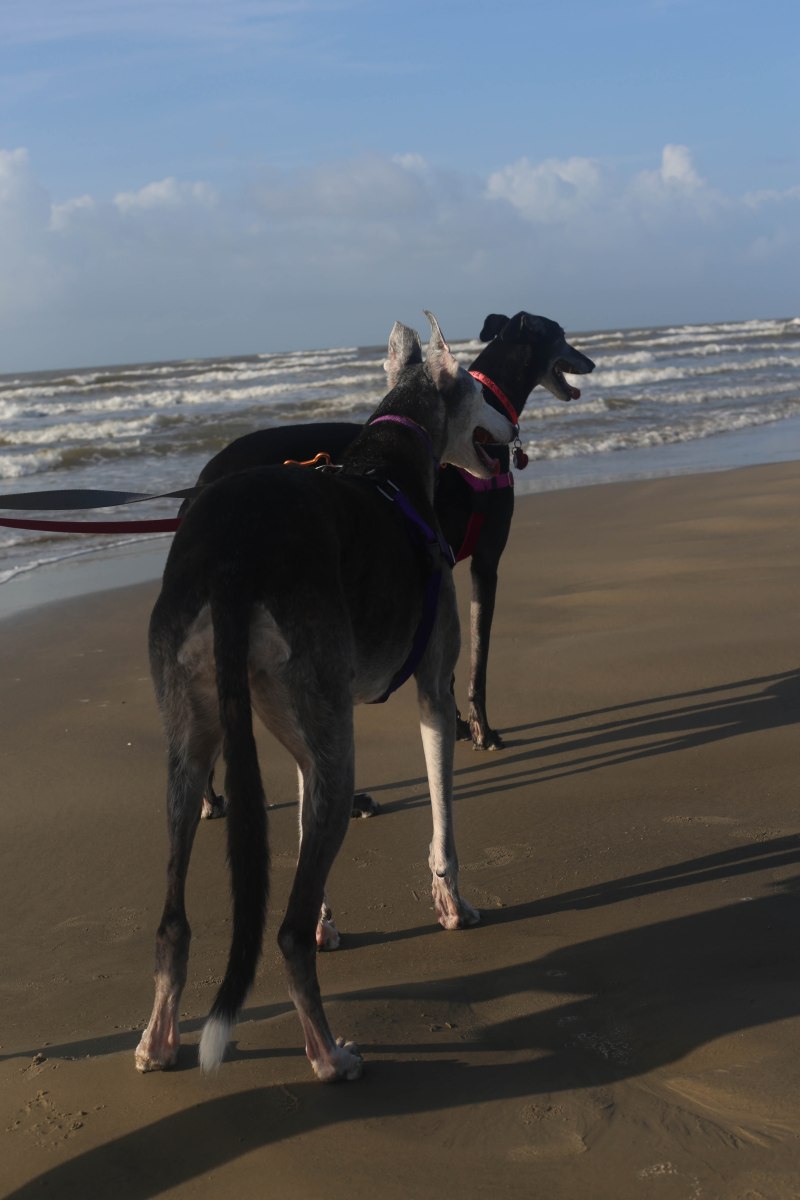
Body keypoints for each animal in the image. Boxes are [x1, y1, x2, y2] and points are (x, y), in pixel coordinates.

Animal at [135, 313, 516, 1082]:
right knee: (279, 933)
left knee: (173, 919)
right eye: (479, 390)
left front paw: (327, 920)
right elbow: (444, 824)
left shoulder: (307, 737)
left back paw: (158, 1043)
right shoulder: (433, 694)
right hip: (331, 740)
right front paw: (454, 906)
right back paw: (329, 1054)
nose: (511, 432)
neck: (392, 465)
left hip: (193, 745)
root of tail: (230, 559)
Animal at [188, 313, 595, 761]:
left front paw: (459, 727)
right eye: (561, 335)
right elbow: (477, 660)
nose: (590, 363)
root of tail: (203, 479)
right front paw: (480, 730)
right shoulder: (482, 562)